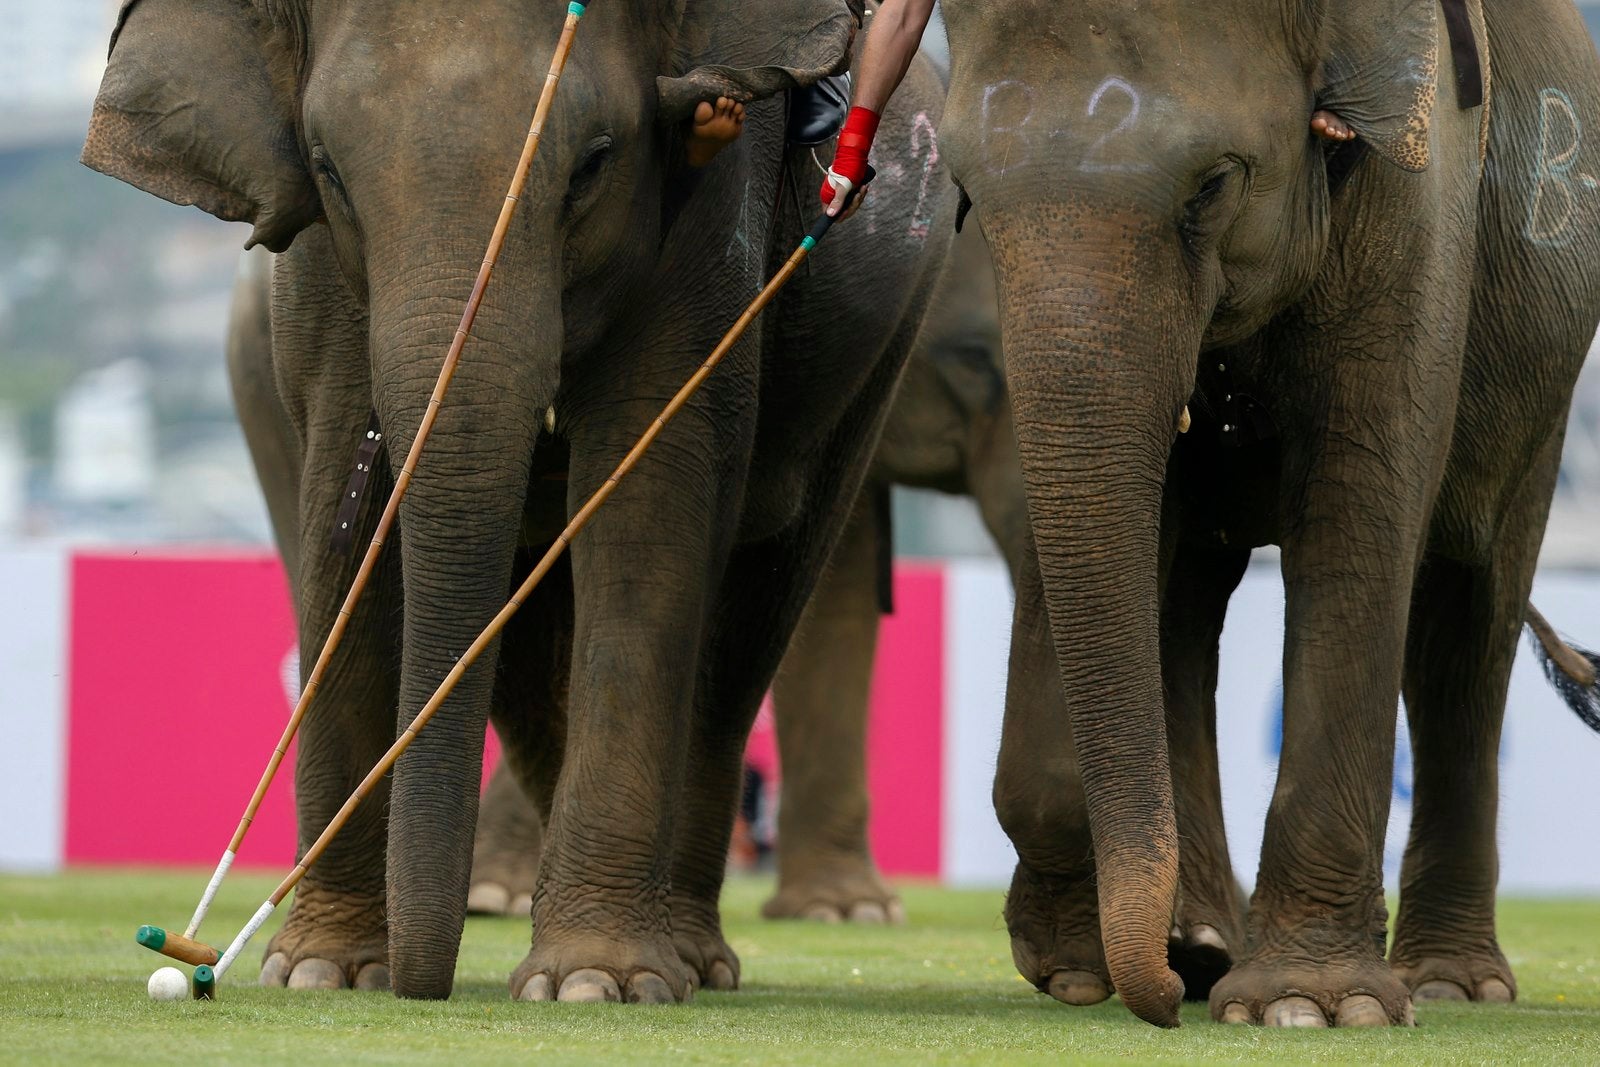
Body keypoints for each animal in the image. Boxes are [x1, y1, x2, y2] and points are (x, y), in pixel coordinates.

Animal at [84, 0, 960, 1004]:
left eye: (594, 162)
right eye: (329, 169)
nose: (417, 984)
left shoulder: (707, 218)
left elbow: (650, 498)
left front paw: (596, 982)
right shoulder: (315, 280)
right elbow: (346, 499)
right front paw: (321, 971)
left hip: (880, 347)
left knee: (756, 613)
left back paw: (689, 957)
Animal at [934, 0, 1600, 1036]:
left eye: (1213, 185)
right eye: (964, 193)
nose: (1163, 1006)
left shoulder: (1422, 192)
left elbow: (1358, 501)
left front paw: (1310, 1005)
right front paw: (1089, 964)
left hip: (1544, 384)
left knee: (1466, 616)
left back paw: (1447, 982)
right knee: (1185, 603)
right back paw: (1209, 942)